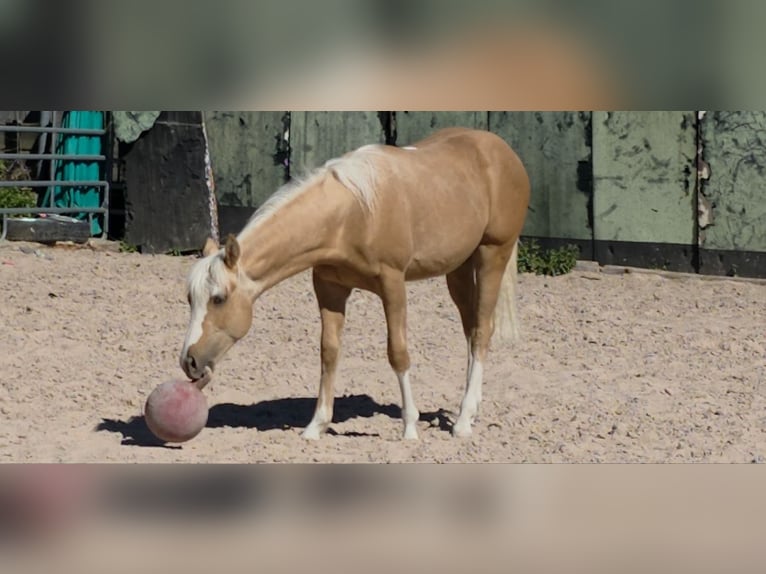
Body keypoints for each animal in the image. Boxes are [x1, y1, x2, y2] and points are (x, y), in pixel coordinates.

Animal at [180, 127, 530, 439]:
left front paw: (410, 428)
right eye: (190, 299)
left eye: (219, 298)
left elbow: (397, 352)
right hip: (457, 269)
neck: (351, 216)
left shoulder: (392, 285)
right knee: (470, 331)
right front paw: (316, 427)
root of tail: (504, 152)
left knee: (482, 331)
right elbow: (329, 352)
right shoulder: (329, 288)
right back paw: (469, 411)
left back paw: (463, 422)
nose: (189, 362)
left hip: (492, 255)